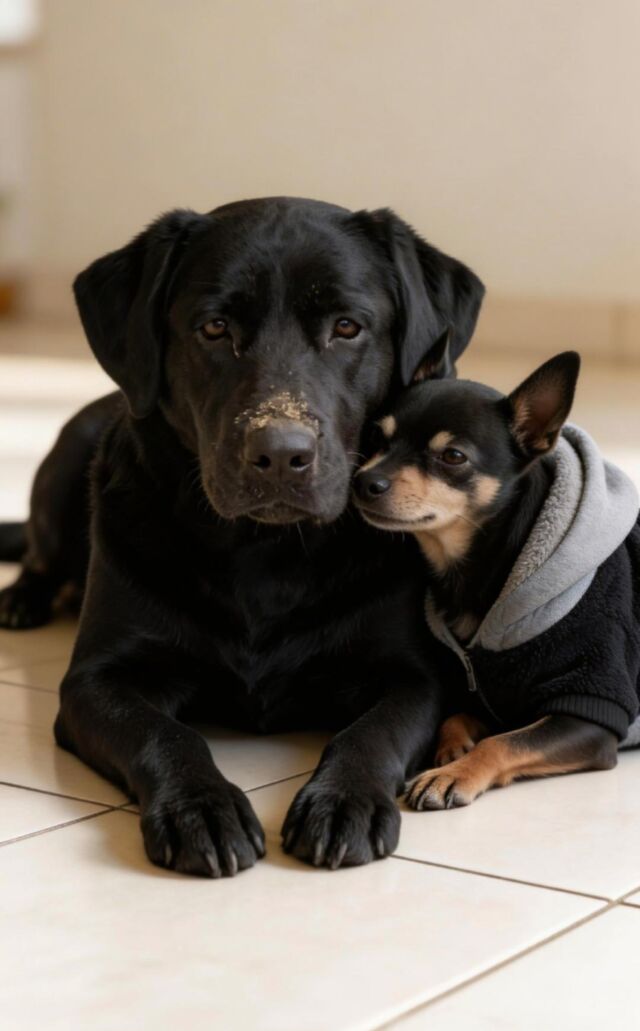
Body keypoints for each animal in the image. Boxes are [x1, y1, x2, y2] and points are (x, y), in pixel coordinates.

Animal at [0, 197, 485, 873]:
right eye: (213, 328)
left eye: (347, 327)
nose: (281, 453)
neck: (265, 553)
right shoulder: (97, 681)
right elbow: (165, 732)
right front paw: (201, 808)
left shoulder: (415, 677)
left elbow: (371, 732)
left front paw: (343, 801)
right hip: (67, 459)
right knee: (40, 555)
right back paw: (21, 599)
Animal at [353, 339, 640, 809]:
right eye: (378, 438)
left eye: (453, 457)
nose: (364, 481)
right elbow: (456, 715)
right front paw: (452, 749)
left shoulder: (590, 712)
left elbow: (503, 743)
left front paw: (452, 774)